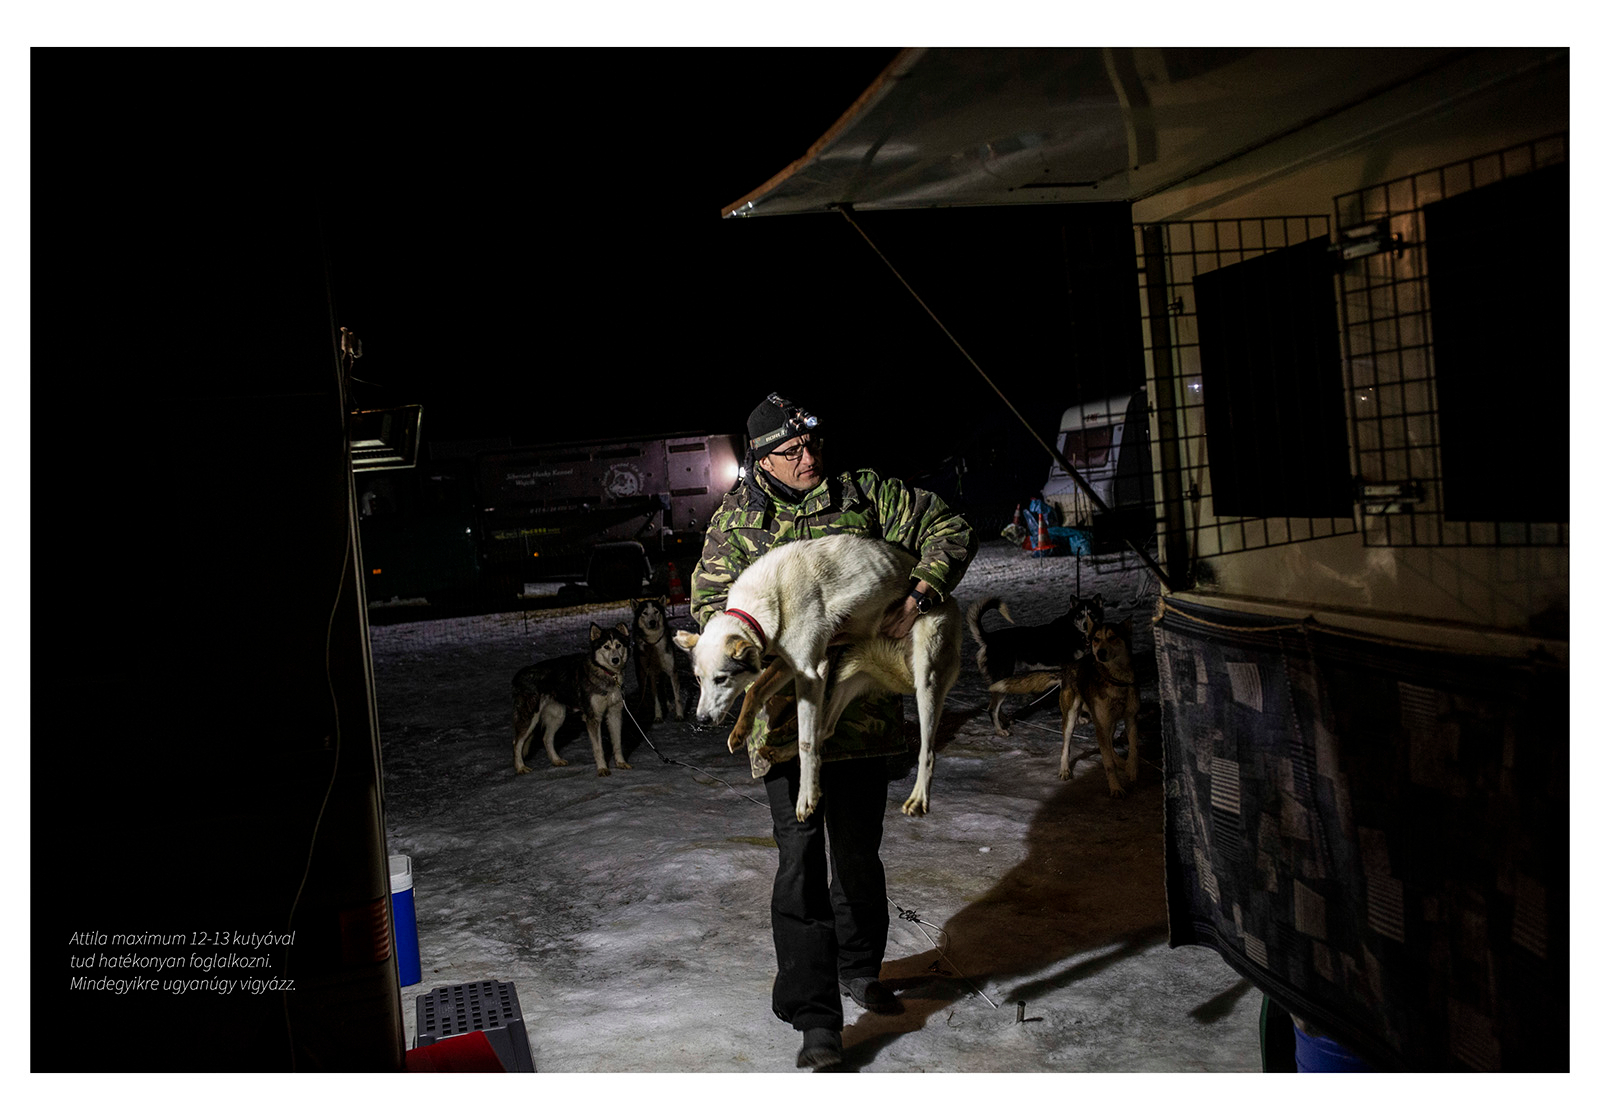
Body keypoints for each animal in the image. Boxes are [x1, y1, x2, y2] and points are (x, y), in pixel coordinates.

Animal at [515, 620, 633, 777]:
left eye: (618, 645)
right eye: (606, 646)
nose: (615, 660)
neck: (607, 674)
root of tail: (520, 674)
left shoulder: (615, 714)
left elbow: (617, 743)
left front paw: (620, 763)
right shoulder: (593, 718)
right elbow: (598, 748)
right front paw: (602, 768)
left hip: (558, 716)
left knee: (546, 738)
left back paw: (556, 760)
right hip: (530, 718)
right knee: (517, 743)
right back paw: (520, 767)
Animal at [672, 534, 960, 825]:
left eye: (721, 679)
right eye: (699, 679)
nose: (702, 719)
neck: (769, 598)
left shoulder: (810, 672)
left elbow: (806, 743)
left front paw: (806, 797)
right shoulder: (789, 665)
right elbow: (756, 693)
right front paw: (740, 730)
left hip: (926, 680)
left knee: (927, 750)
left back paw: (919, 799)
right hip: (845, 679)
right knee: (826, 728)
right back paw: (778, 751)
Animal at [966, 592, 1107, 739]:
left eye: (1091, 614)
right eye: (1080, 615)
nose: (1085, 625)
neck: (1074, 631)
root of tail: (989, 639)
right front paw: (1078, 719)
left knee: (996, 707)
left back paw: (1005, 721)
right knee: (992, 709)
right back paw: (1000, 730)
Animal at [985, 620, 1139, 796]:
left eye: (1113, 637)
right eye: (1096, 639)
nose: (1100, 653)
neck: (1116, 681)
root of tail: (1067, 669)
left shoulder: (1130, 719)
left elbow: (1133, 750)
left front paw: (1131, 770)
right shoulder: (1102, 724)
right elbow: (1108, 763)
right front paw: (1116, 788)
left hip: (1107, 723)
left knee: (1109, 744)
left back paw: (1120, 761)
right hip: (1071, 719)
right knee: (1066, 747)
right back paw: (1065, 770)